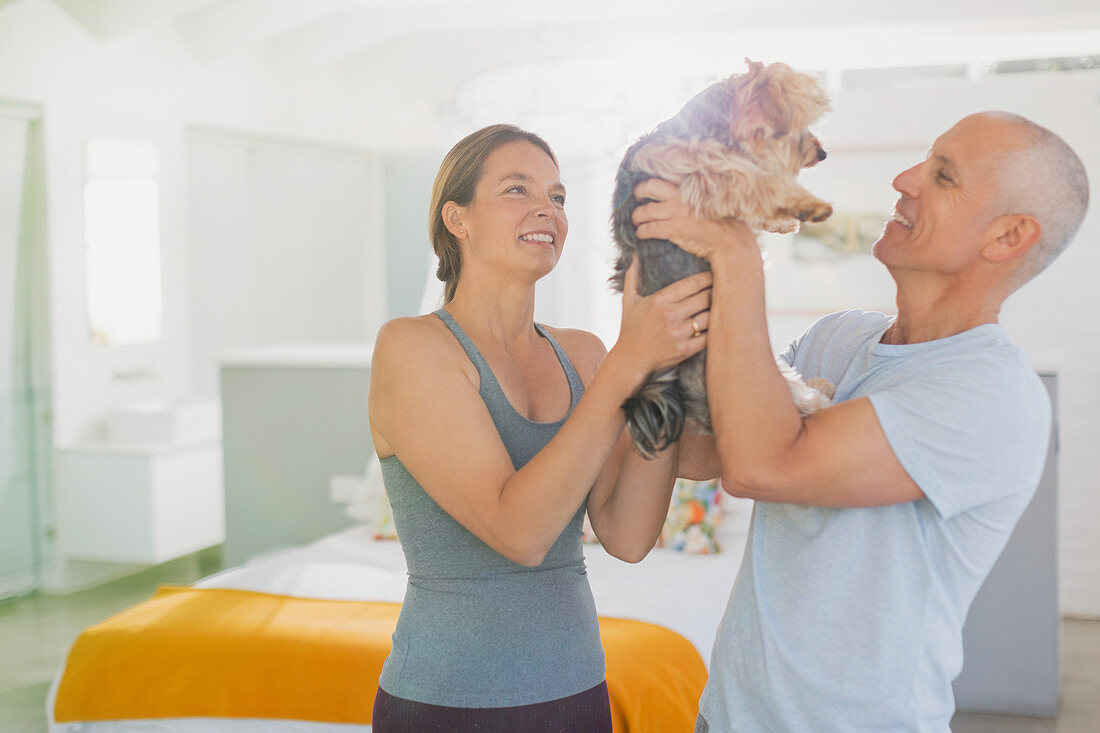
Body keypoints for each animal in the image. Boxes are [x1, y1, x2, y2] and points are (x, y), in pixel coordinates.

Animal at [611, 58, 831, 457]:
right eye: (792, 128)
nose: (820, 152)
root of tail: (674, 382)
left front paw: (784, 220)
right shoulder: (705, 174)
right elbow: (757, 179)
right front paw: (805, 204)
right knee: (803, 406)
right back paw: (821, 395)